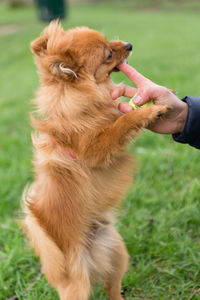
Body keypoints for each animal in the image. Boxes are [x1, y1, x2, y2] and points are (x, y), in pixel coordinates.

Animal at [21, 21, 169, 300]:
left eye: (110, 40)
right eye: (108, 54)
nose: (129, 45)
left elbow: (120, 118)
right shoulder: (96, 148)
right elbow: (121, 124)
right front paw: (149, 111)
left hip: (117, 250)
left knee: (113, 287)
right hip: (77, 283)